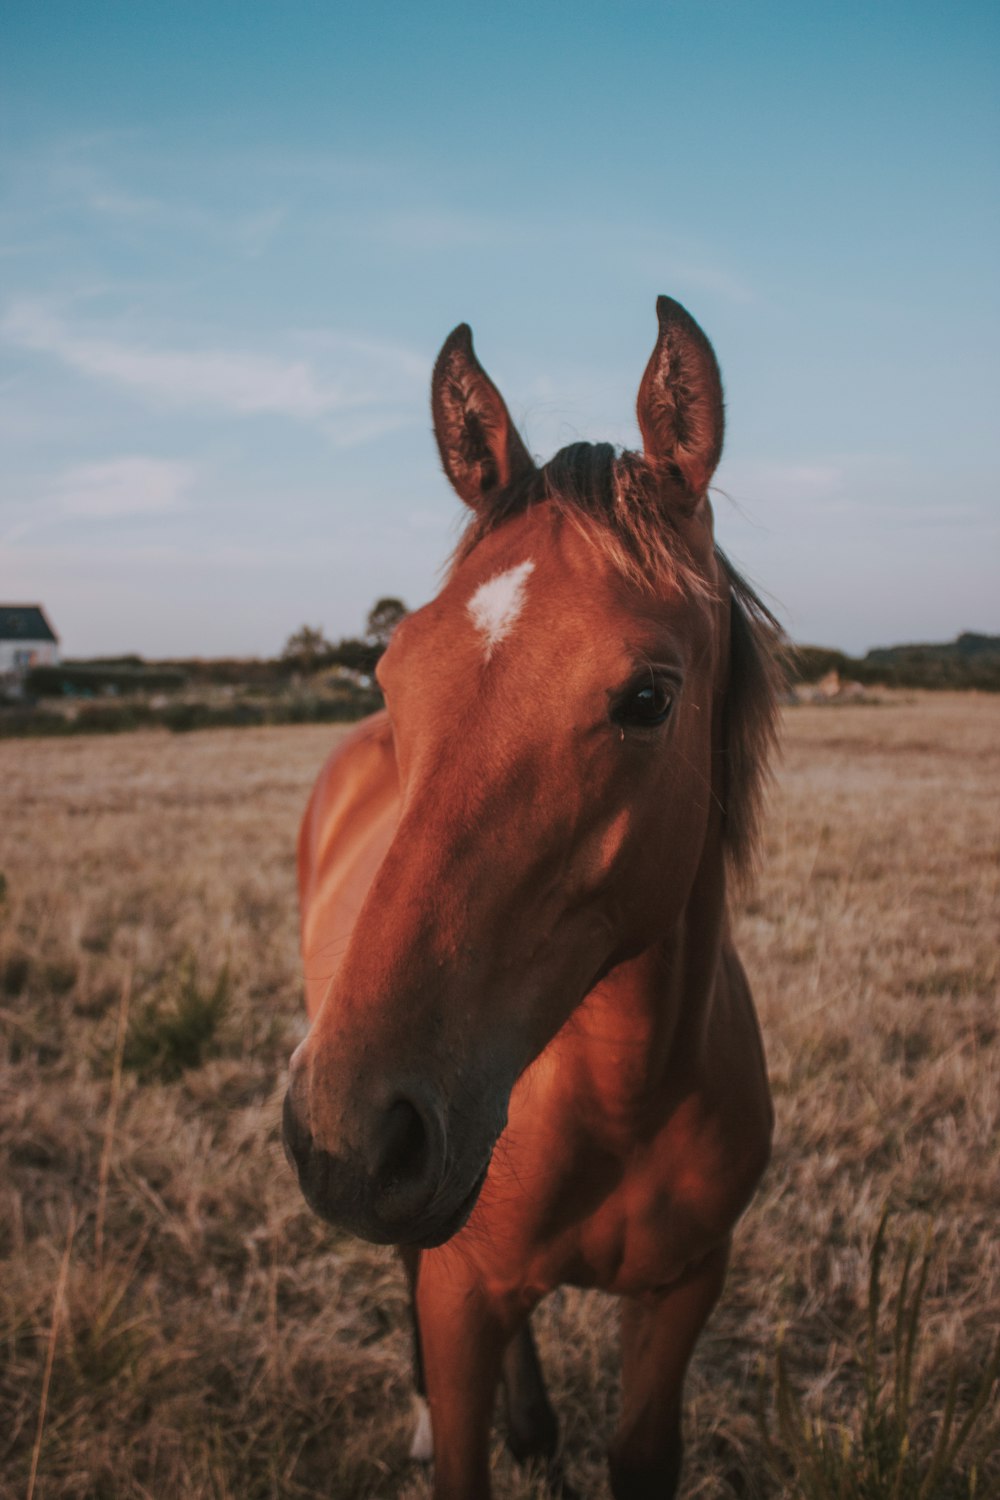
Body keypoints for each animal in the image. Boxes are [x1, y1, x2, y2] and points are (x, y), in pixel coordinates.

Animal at [283, 298, 779, 1494]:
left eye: (648, 698)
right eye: (393, 673)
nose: (349, 1134)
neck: (625, 1096)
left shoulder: (684, 1292)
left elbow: (639, 1453)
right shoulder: (460, 1294)